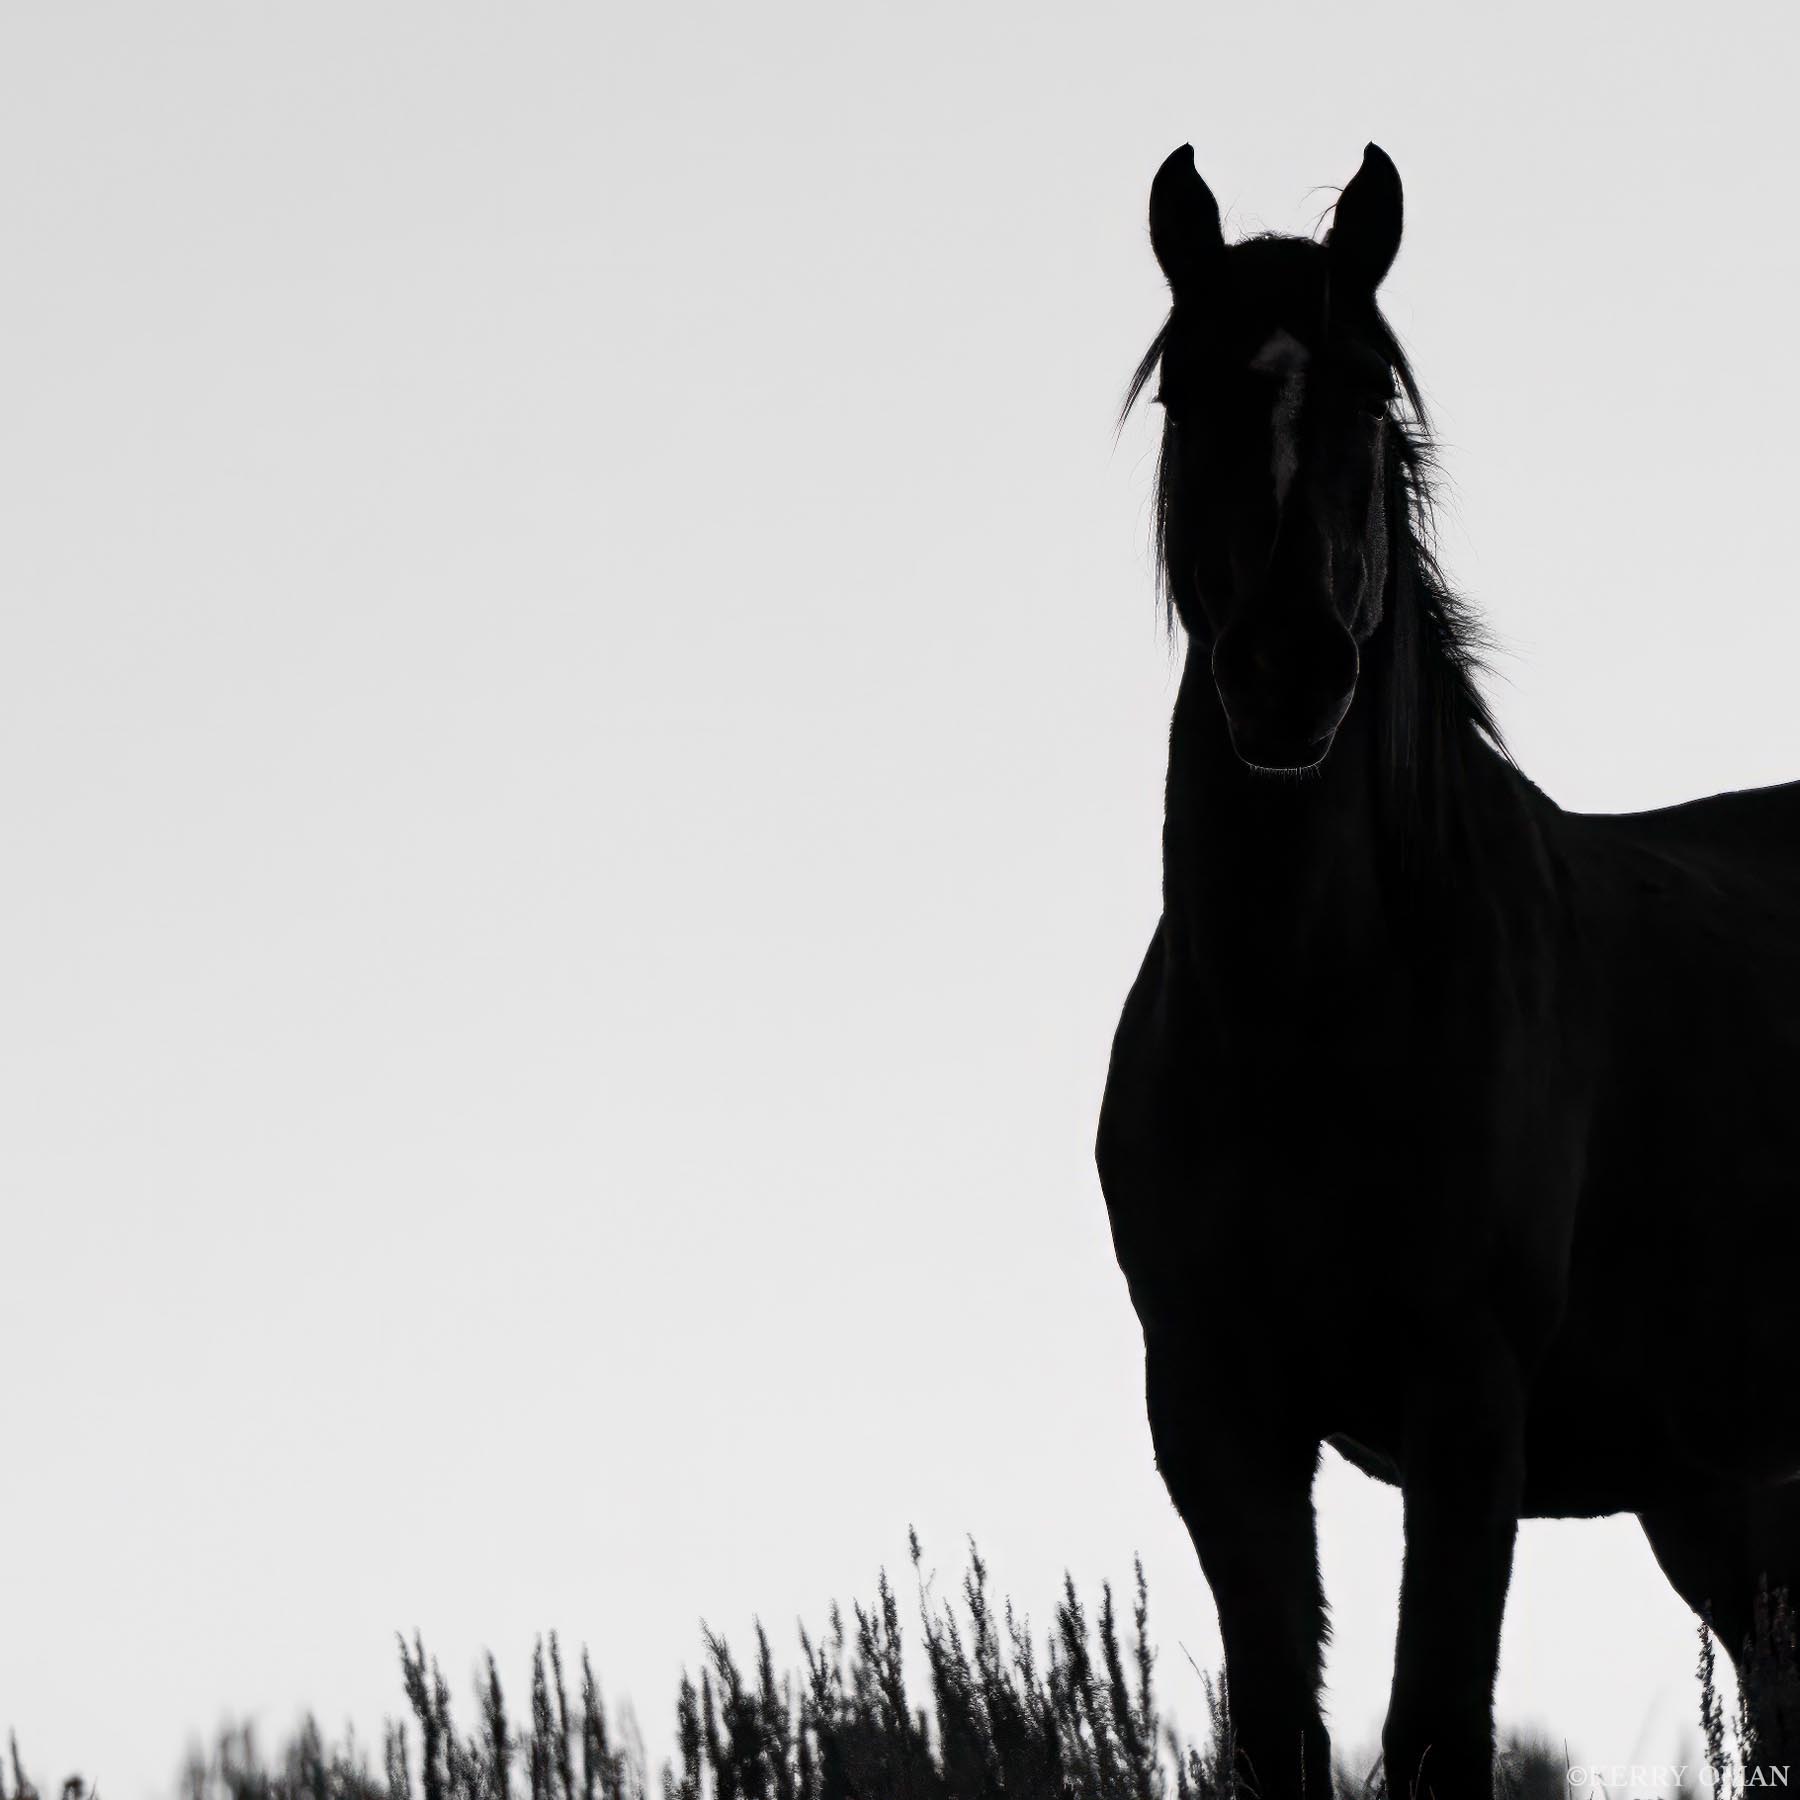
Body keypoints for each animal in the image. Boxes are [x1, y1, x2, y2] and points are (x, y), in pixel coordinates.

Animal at [1094, 142, 1800, 1800]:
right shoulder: (1215, 1410)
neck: (1304, 1016)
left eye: (1369, 394)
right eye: (1187, 393)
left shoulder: (1468, 1399)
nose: (1290, 671)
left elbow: (1434, 1733)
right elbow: (1283, 1731)